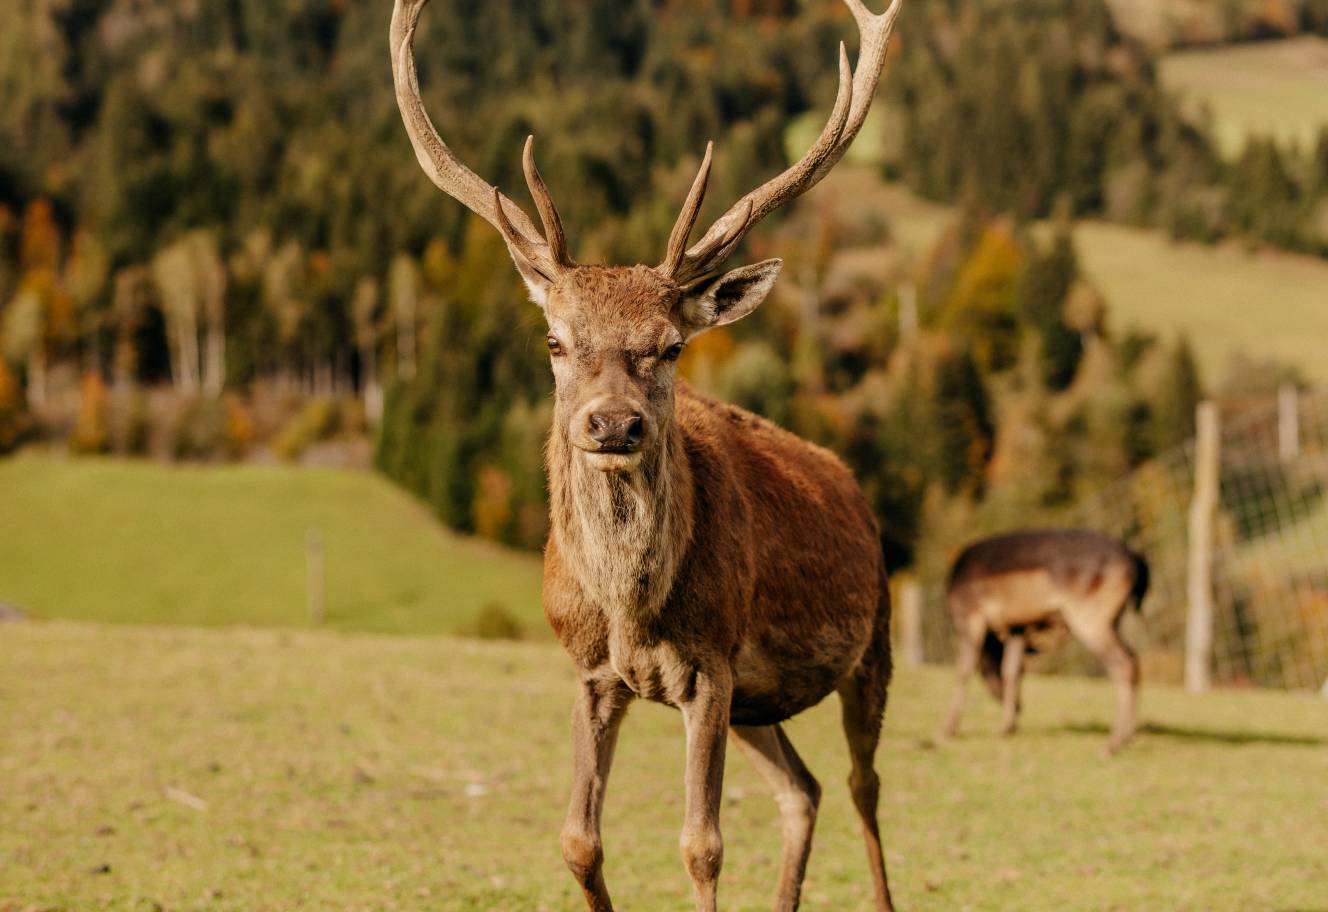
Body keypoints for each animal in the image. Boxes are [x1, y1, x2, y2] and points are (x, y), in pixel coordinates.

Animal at [393, 1, 908, 912]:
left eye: (669, 346)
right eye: (556, 341)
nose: (612, 424)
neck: (633, 610)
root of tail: (853, 485)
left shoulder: (711, 664)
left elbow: (701, 846)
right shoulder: (595, 672)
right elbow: (578, 842)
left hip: (870, 643)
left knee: (862, 788)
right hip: (760, 704)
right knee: (803, 789)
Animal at [940, 531, 1147, 754]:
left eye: (987, 675)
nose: (1020, 707)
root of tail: (1136, 560)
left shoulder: (969, 615)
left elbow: (963, 670)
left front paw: (947, 729)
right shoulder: (1018, 628)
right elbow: (1012, 670)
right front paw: (1006, 727)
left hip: (1091, 618)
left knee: (1123, 663)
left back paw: (1112, 744)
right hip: (1113, 620)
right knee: (1134, 658)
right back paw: (1129, 736)